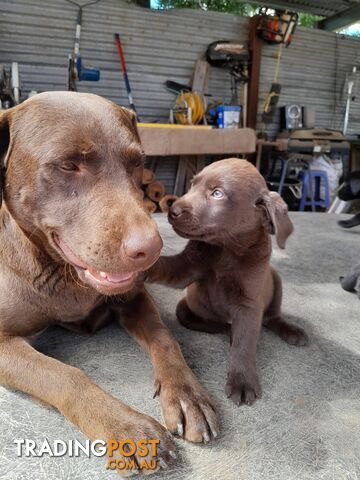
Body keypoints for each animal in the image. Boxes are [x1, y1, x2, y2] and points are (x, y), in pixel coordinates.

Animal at [0, 91, 217, 476]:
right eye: (68, 165)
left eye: (138, 163)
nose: (150, 249)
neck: (62, 274)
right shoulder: (2, 340)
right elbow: (64, 375)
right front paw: (126, 426)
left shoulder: (133, 297)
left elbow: (164, 338)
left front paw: (187, 393)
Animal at [145, 159, 308, 406]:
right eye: (192, 184)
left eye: (217, 193)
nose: (172, 211)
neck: (226, 249)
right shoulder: (186, 268)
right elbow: (165, 266)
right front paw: (140, 267)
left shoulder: (249, 304)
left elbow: (245, 344)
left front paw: (242, 381)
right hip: (185, 308)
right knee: (219, 324)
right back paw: (229, 330)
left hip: (276, 282)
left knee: (271, 317)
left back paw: (291, 330)